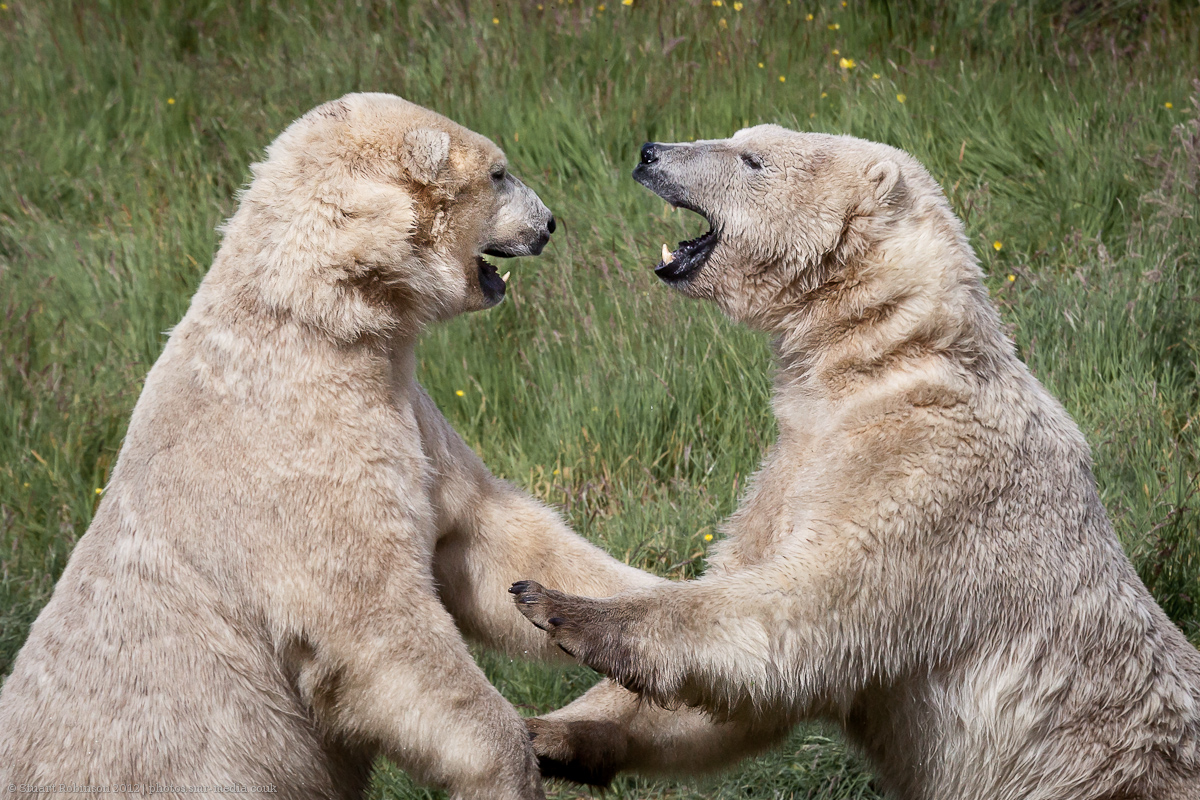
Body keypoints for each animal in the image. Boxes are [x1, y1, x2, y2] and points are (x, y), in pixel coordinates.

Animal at [0, 93, 661, 800]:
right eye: (498, 173)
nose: (550, 224)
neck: (317, 318)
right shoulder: (302, 455)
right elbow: (379, 625)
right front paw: (513, 765)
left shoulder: (405, 412)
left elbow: (482, 538)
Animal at [511, 126, 1200, 799]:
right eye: (738, 135)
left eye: (752, 157)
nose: (651, 152)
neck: (887, 359)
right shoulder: (796, 459)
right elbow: (735, 689)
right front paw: (549, 733)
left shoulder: (927, 479)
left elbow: (801, 614)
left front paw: (558, 605)